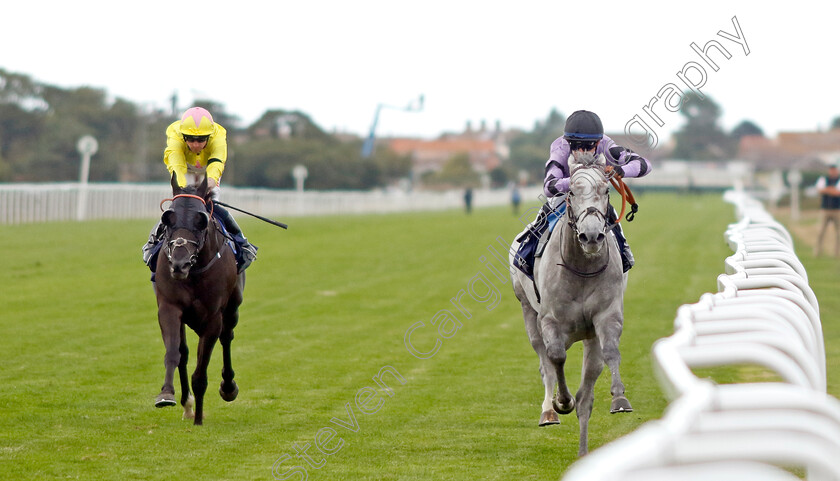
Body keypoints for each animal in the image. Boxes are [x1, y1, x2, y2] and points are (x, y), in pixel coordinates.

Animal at [153, 172, 243, 424]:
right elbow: (174, 353)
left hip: (233, 308)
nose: (179, 264)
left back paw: (228, 387)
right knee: (183, 352)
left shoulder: (213, 317)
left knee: (227, 337)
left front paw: (199, 420)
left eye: (200, 220)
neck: (192, 274)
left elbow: (201, 372)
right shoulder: (169, 307)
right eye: (168, 219)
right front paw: (167, 394)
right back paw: (187, 405)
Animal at [508, 152, 632, 456]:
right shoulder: (550, 320)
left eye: (606, 190)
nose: (592, 236)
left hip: (589, 338)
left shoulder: (607, 316)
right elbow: (556, 357)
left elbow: (611, 352)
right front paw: (561, 402)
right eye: (572, 192)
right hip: (527, 312)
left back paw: (583, 451)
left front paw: (619, 398)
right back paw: (548, 412)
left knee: (586, 396)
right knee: (545, 362)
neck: (581, 268)